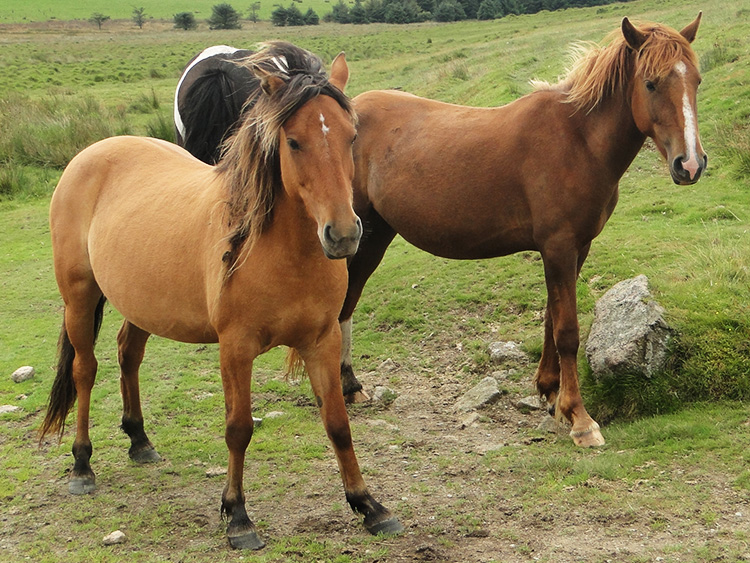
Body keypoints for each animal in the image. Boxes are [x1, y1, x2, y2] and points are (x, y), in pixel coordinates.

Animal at [39, 43, 406, 552]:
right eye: (293, 142)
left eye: (351, 138)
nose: (344, 235)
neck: (279, 251)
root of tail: (92, 152)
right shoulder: (236, 349)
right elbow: (238, 429)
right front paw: (238, 516)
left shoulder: (322, 341)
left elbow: (337, 423)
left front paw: (369, 505)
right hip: (79, 298)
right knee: (84, 371)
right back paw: (81, 464)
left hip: (142, 304)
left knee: (127, 354)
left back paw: (139, 441)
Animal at [342, 13, 712, 448]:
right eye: (651, 83)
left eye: (696, 81)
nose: (690, 164)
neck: (578, 139)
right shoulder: (558, 246)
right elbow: (567, 330)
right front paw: (580, 419)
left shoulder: (576, 248)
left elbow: (552, 319)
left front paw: (552, 394)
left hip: (375, 235)